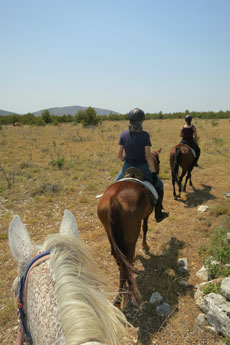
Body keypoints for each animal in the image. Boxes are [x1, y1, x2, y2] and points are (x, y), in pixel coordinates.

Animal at [96, 149, 160, 306]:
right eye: (158, 161)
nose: (156, 173)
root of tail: (114, 199)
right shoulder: (146, 215)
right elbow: (145, 228)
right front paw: (145, 246)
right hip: (130, 239)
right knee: (127, 259)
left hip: (110, 233)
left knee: (118, 256)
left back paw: (120, 294)